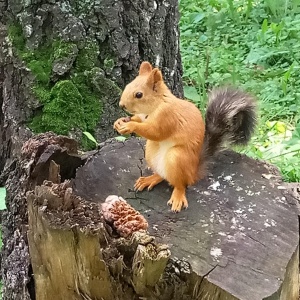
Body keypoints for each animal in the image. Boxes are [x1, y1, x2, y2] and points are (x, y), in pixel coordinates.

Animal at [113, 61, 256, 212]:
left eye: (139, 94)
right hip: (150, 152)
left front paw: (130, 126)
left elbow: (155, 132)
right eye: (128, 85)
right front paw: (120, 122)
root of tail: (193, 172)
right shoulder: (143, 116)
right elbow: (139, 120)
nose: (121, 105)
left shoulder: (168, 118)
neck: (155, 106)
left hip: (177, 157)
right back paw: (150, 179)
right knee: (163, 176)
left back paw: (178, 196)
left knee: (180, 184)